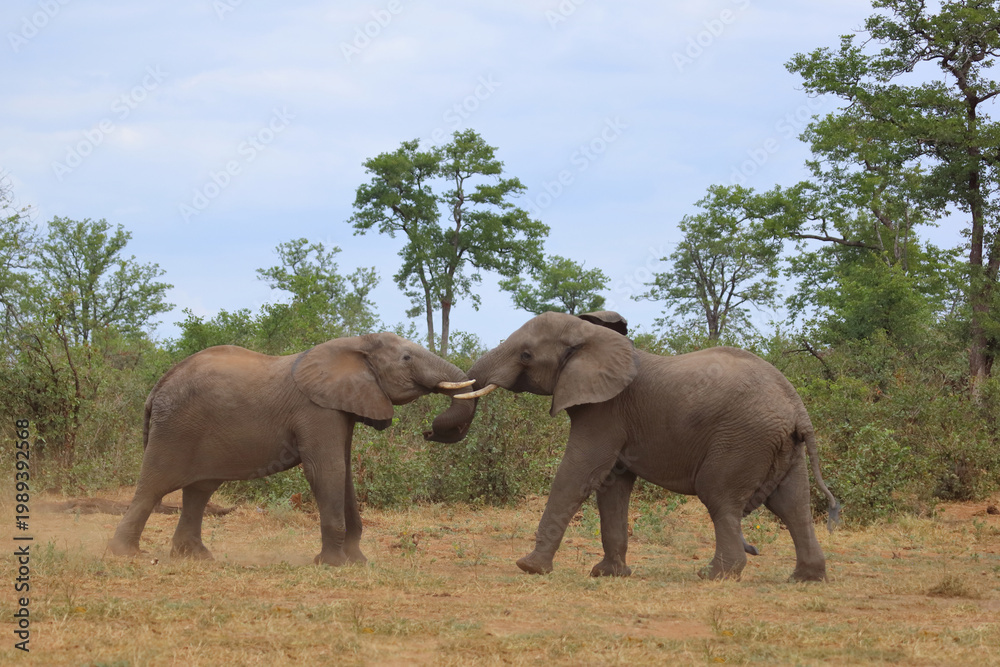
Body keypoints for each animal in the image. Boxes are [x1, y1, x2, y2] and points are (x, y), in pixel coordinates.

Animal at [109, 332, 477, 565]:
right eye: (406, 357)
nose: (430, 432)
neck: (354, 344)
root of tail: (157, 386)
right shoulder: (317, 410)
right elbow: (327, 470)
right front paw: (332, 564)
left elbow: (344, 473)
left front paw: (358, 562)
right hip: (175, 430)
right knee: (153, 487)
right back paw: (126, 554)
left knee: (199, 490)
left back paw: (197, 557)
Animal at [453, 311, 840, 581]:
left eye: (526, 355)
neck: (593, 336)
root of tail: (797, 409)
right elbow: (612, 486)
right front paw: (608, 575)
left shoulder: (604, 411)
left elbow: (578, 475)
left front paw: (529, 567)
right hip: (781, 446)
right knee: (793, 505)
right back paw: (805, 578)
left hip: (742, 440)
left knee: (720, 497)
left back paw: (714, 575)